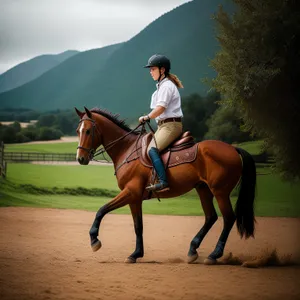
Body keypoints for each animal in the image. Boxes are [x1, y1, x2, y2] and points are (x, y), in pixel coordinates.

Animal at [75, 106, 255, 264]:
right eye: (78, 131)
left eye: (88, 131)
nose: (80, 158)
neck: (127, 149)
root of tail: (233, 149)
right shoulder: (134, 198)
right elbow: (138, 226)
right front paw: (135, 254)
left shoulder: (130, 192)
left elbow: (101, 210)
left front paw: (94, 240)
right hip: (203, 189)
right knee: (211, 217)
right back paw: (193, 250)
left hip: (220, 192)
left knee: (228, 218)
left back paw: (214, 255)